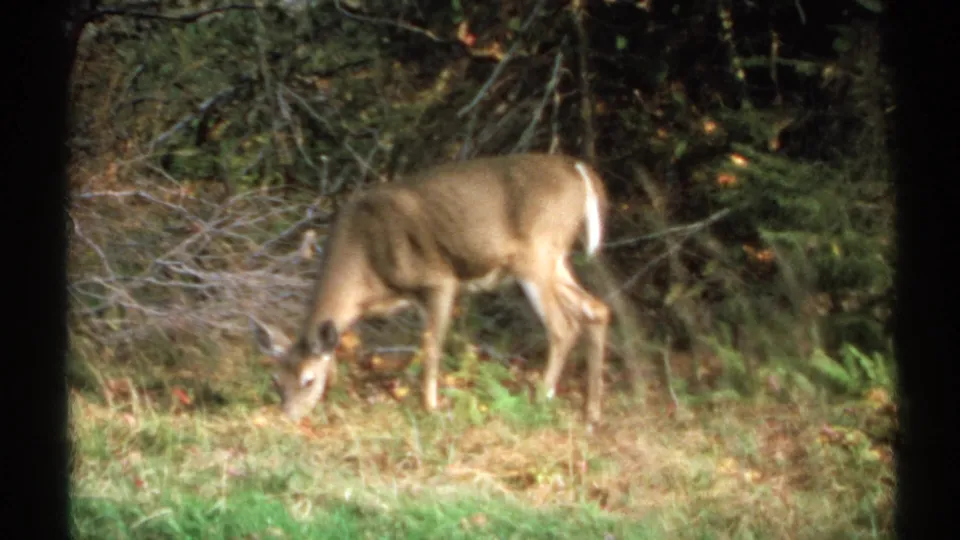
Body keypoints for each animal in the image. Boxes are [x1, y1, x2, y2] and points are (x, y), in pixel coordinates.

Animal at [249, 152, 612, 426]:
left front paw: (431, 408)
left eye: (308, 380)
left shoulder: (438, 279)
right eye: (275, 380)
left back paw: (541, 399)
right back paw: (591, 413)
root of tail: (579, 171)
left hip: (536, 254)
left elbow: (431, 347)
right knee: (596, 309)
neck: (365, 271)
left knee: (563, 326)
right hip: (555, 260)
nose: (289, 416)